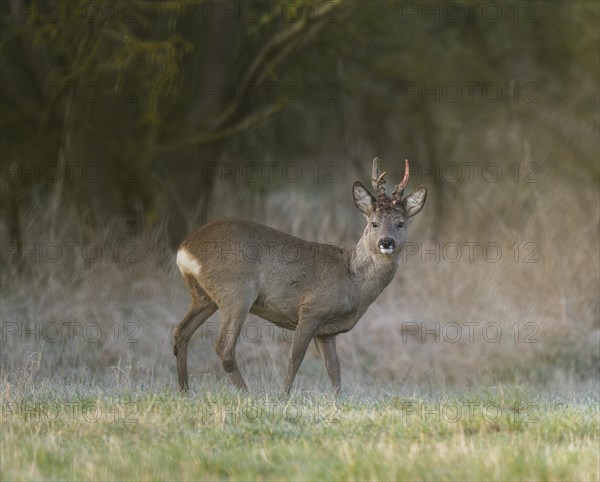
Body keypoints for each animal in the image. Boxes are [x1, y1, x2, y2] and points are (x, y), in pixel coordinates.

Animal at [173, 159, 426, 396]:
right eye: (374, 223)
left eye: (400, 223)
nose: (386, 242)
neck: (352, 280)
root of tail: (185, 250)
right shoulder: (311, 310)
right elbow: (295, 358)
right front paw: (283, 396)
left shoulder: (327, 330)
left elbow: (334, 368)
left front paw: (338, 400)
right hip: (236, 291)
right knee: (223, 348)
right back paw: (247, 394)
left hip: (204, 296)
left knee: (181, 333)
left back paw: (185, 391)